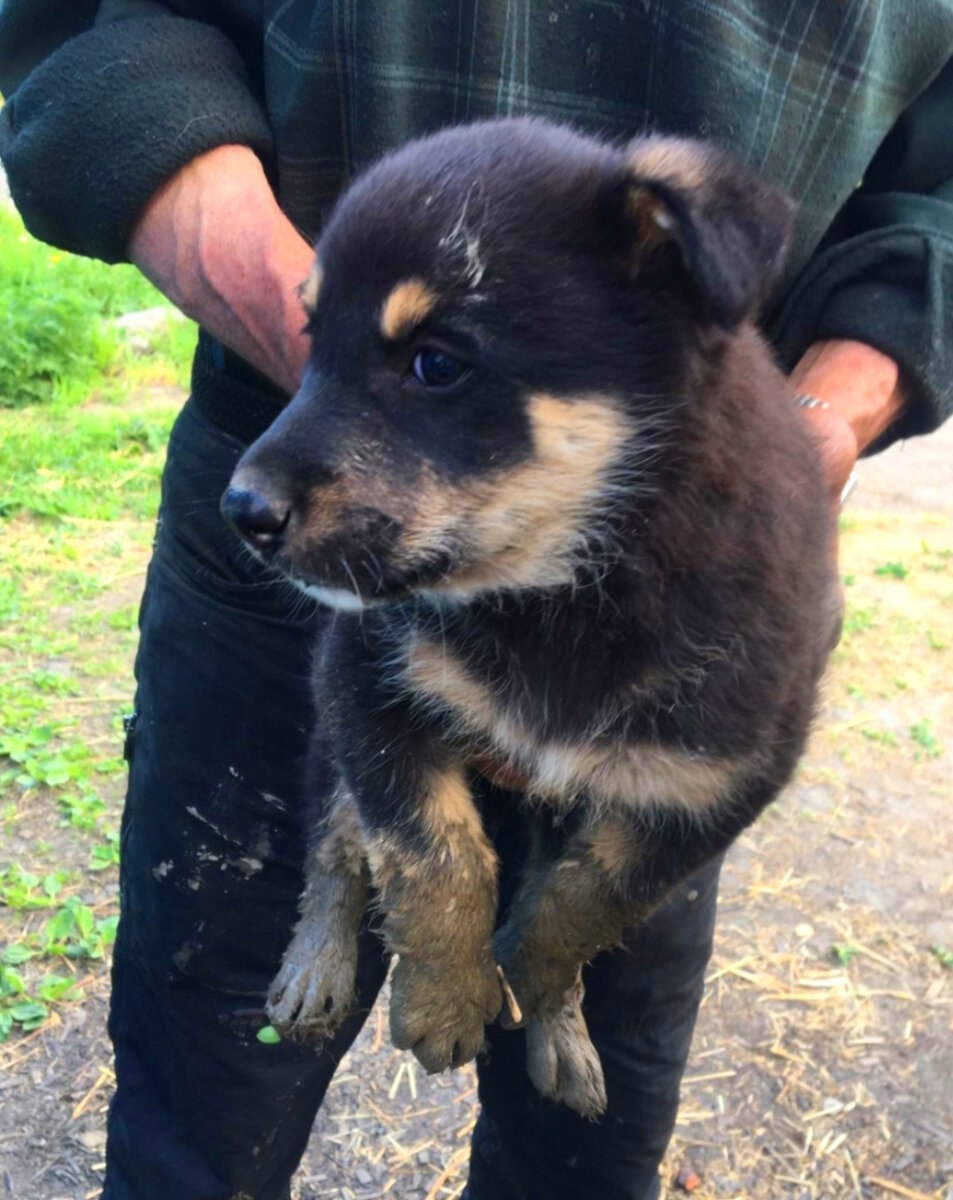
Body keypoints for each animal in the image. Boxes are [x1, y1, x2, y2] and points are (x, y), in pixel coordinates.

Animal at [220, 117, 830, 1118]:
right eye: (311, 339)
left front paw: (527, 985)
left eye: (436, 363)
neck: (565, 592)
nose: (239, 509)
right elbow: (432, 852)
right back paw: (316, 966)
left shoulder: (709, 785)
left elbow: (585, 903)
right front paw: (444, 1002)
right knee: (334, 841)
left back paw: (563, 1035)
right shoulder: (366, 679)